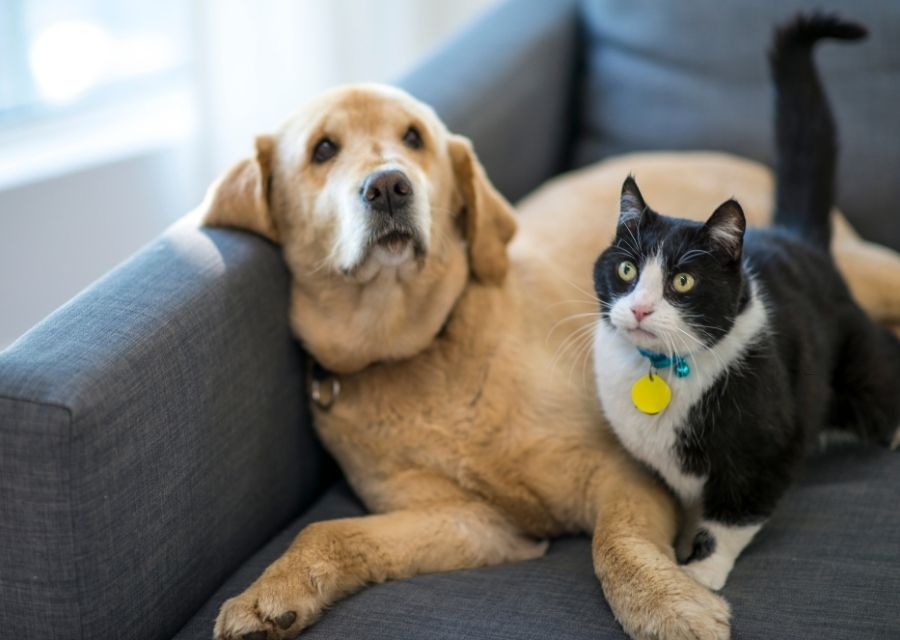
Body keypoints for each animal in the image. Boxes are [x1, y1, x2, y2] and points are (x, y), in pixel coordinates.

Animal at [200, 86, 900, 640]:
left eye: (414, 137)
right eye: (322, 149)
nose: (390, 186)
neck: (421, 350)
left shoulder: (623, 477)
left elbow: (613, 547)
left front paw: (670, 607)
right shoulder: (473, 523)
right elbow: (330, 531)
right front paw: (272, 595)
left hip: (866, 276)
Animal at [592, 15, 900, 592]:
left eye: (682, 281)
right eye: (626, 271)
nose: (639, 309)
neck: (664, 373)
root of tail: (799, 241)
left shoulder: (767, 450)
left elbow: (734, 515)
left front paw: (700, 574)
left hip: (861, 367)